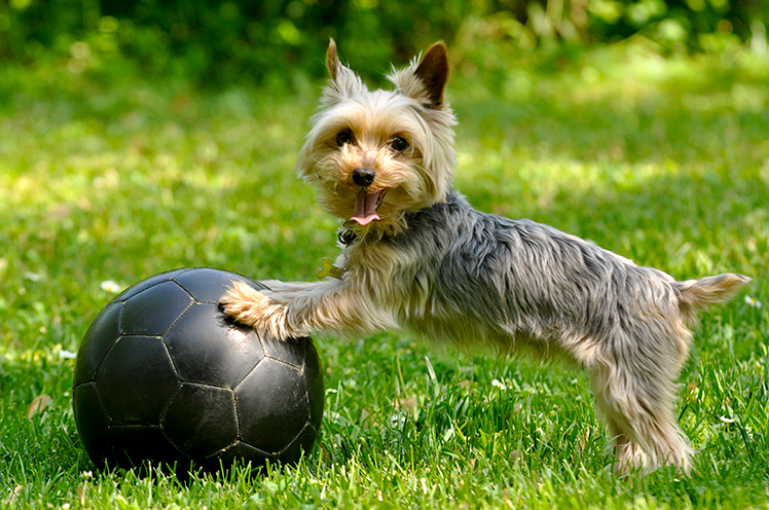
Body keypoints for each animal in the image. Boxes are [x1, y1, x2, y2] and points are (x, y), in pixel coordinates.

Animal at [219, 39, 748, 474]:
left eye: (400, 143)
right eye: (343, 136)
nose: (362, 174)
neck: (401, 220)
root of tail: (674, 290)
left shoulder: (366, 292)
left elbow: (306, 301)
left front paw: (252, 304)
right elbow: (296, 287)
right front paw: (259, 288)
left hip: (630, 376)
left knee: (668, 442)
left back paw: (664, 479)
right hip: (614, 379)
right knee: (633, 434)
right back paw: (626, 472)